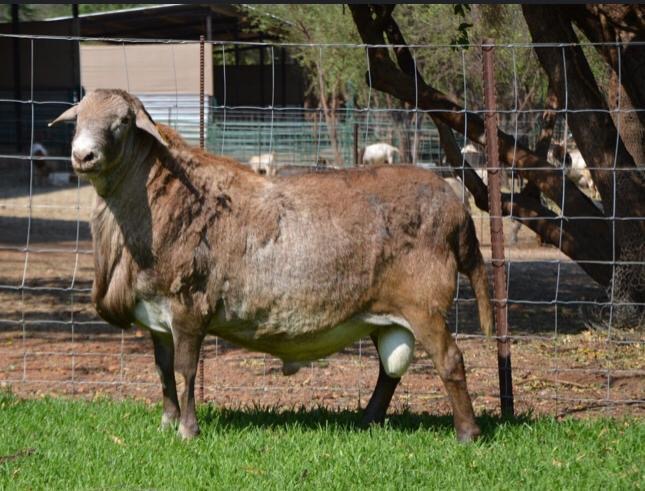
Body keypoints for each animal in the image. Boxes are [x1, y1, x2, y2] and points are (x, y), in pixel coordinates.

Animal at [51, 90, 494, 444]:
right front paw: (166, 422)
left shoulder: (189, 307)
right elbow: (162, 372)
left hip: (424, 303)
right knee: (390, 371)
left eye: (123, 122)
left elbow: (186, 371)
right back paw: (367, 421)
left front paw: (188, 431)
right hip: (387, 312)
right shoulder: (157, 317)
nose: (83, 156)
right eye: (78, 119)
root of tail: (458, 212)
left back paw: (467, 434)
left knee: (449, 360)